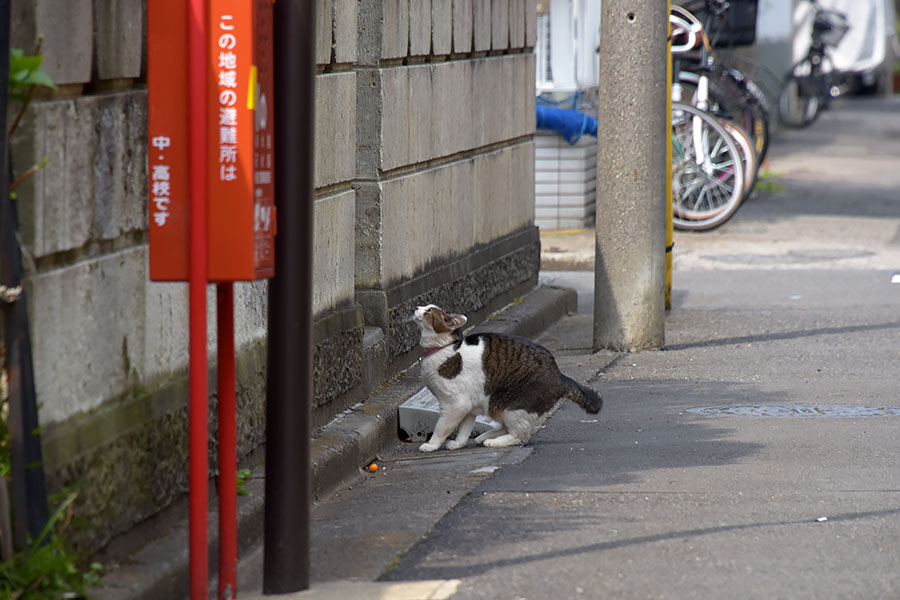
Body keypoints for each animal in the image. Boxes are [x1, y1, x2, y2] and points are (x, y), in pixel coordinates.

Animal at [414, 304, 604, 450]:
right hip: (498, 405)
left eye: (428, 311)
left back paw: (493, 442)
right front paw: (458, 444)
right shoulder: (468, 405)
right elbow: (464, 429)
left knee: (521, 434)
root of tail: (559, 375)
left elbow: (442, 427)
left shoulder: (454, 404)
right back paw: (484, 437)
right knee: (507, 427)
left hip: (514, 406)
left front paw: (431, 445)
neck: (442, 350)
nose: (416, 307)